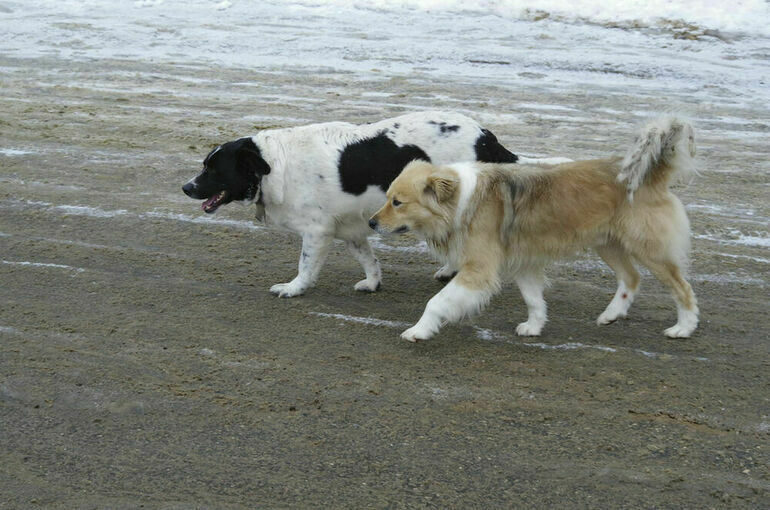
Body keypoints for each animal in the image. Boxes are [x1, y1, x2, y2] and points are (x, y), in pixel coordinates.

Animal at [180, 109, 564, 296]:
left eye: (213, 168)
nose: (185, 187)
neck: (274, 165)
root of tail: (487, 138)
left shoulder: (316, 232)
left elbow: (305, 267)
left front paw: (294, 289)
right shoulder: (351, 228)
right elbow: (369, 259)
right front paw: (373, 283)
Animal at [368, 115, 700, 342]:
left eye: (397, 202)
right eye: (388, 198)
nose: (371, 223)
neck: (463, 200)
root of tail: (650, 175)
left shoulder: (479, 269)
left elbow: (437, 303)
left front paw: (418, 330)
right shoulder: (524, 263)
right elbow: (534, 300)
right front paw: (534, 326)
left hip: (649, 249)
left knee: (682, 288)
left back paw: (683, 327)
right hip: (608, 244)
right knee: (631, 278)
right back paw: (611, 315)